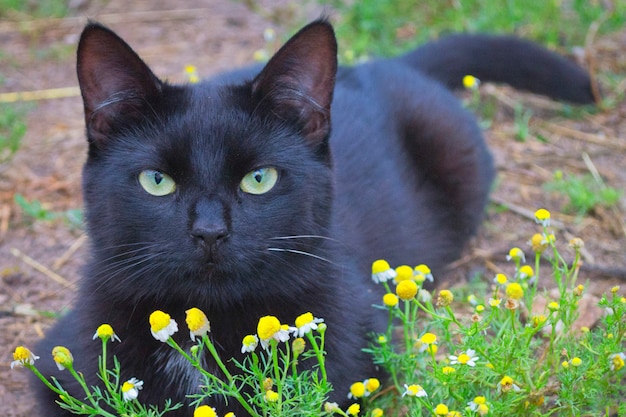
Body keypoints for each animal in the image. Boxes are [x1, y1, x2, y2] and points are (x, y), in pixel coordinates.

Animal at [33, 17, 588, 414]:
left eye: (259, 179)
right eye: (156, 181)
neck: (202, 323)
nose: (210, 232)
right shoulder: (62, 368)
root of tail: (379, 64)